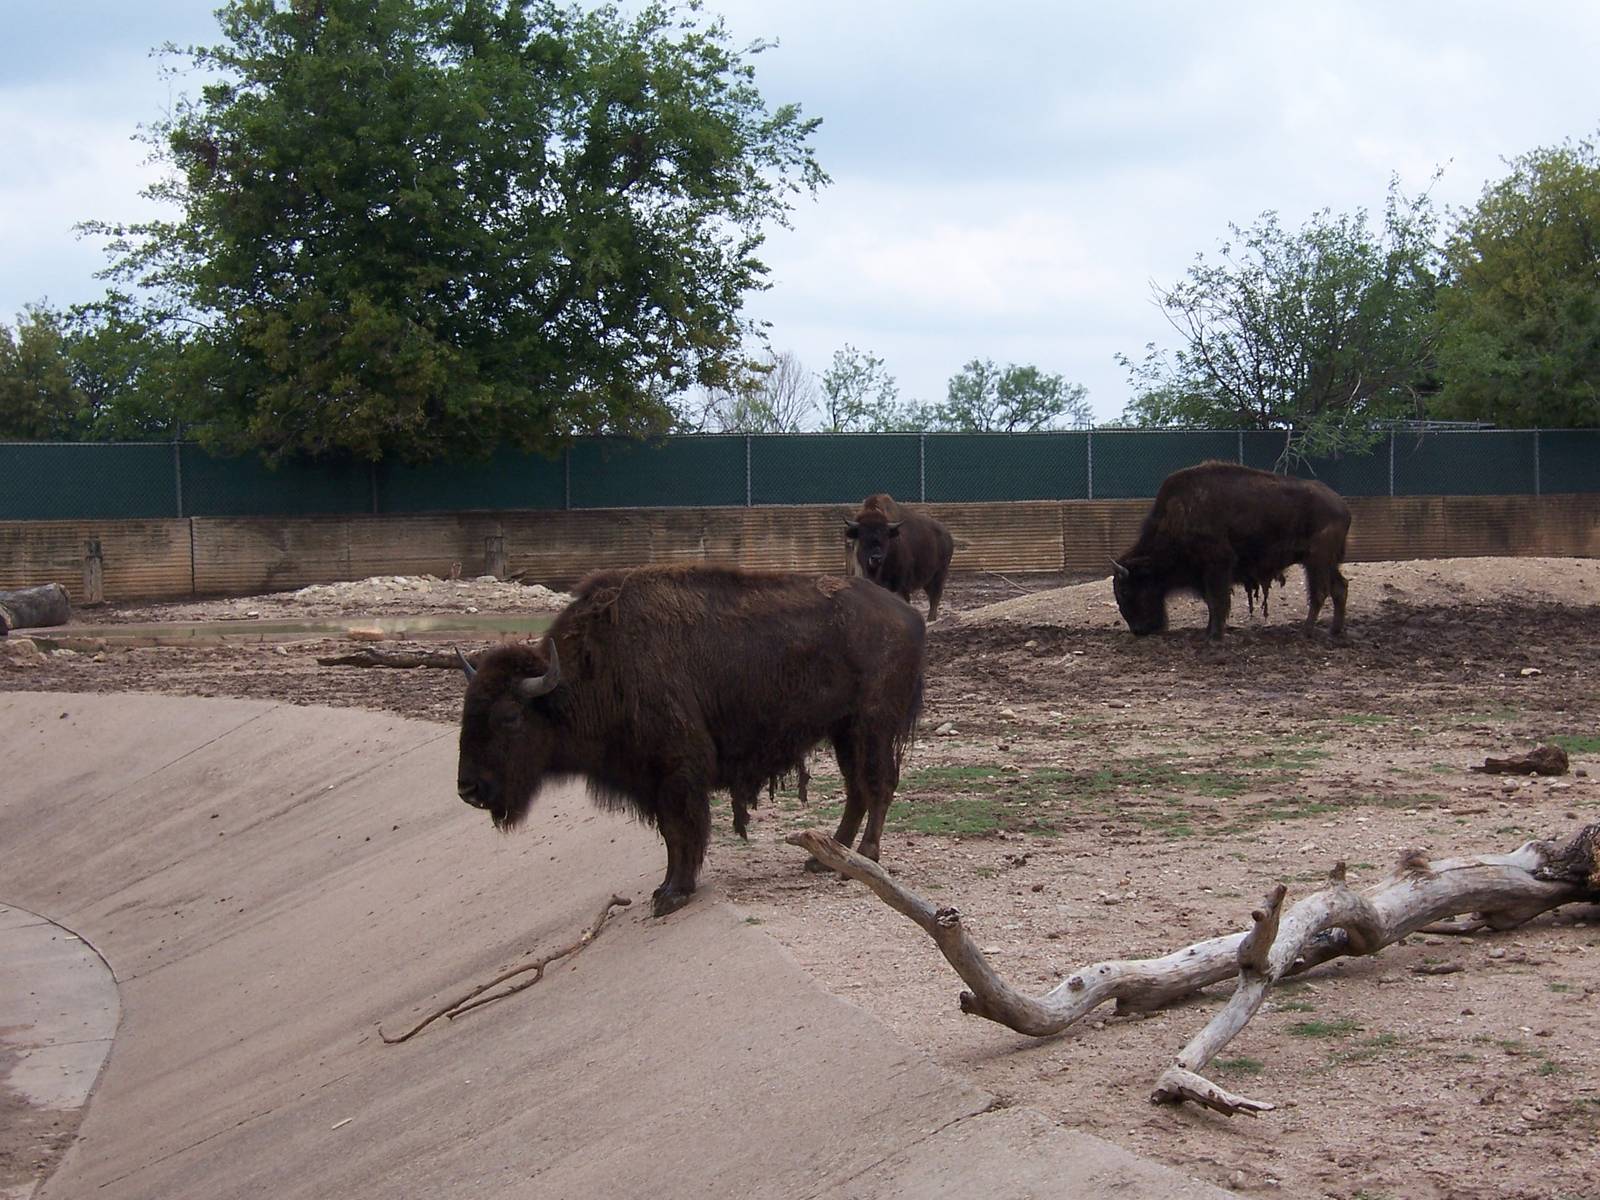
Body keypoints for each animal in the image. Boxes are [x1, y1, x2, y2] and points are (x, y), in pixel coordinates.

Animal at [455, 564, 925, 916]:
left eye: (510, 717)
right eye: (466, 713)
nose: (468, 789)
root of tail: (907, 613)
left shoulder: (676, 772)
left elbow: (683, 830)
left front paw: (674, 894)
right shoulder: (654, 780)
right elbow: (671, 834)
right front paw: (665, 889)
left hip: (871, 726)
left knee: (878, 785)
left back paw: (861, 859)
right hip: (843, 731)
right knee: (858, 790)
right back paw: (824, 859)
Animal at [1110, 461, 1351, 640]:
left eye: (1125, 590)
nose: (1139, 630)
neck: (1179, 514)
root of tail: (1341, 505)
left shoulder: (1217, 566)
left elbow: (1217, 601)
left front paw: (1214, 635)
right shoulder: (1207, 574)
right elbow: (1211, 602)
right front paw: (1209, 631)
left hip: (1316, 560)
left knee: (1319, 592)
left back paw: (1306, 631)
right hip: (1325, 562)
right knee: (1339, 587)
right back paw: (1334, 631)